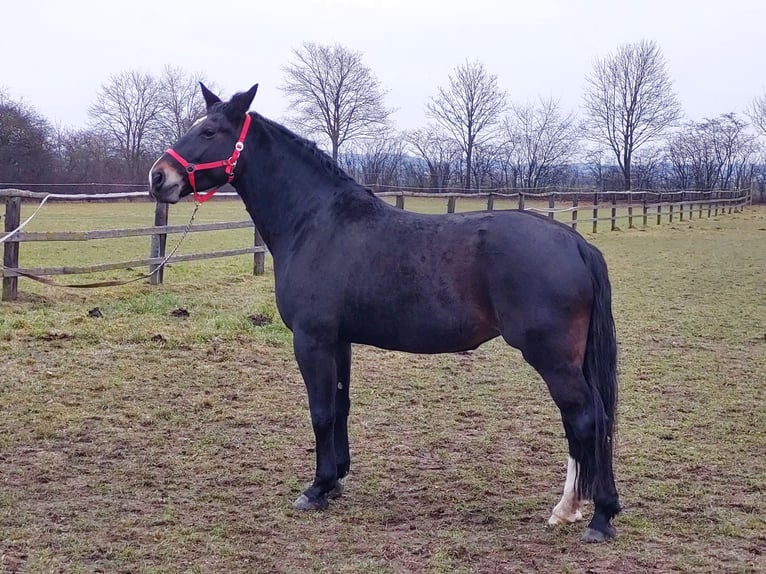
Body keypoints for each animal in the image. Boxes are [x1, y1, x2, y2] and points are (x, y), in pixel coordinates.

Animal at [148, 83, 622, 543]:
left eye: (209, 131)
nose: (158, 176)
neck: (315, 223)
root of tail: (575, 242)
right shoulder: (339, 341)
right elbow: (340, 405)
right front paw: (336, 479)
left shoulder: (311, 339)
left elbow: (320, 411)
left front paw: (316, 489)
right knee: (586, 421)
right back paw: (574, 508)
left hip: (552, 357)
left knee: (587, 417)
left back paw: (597, 516)